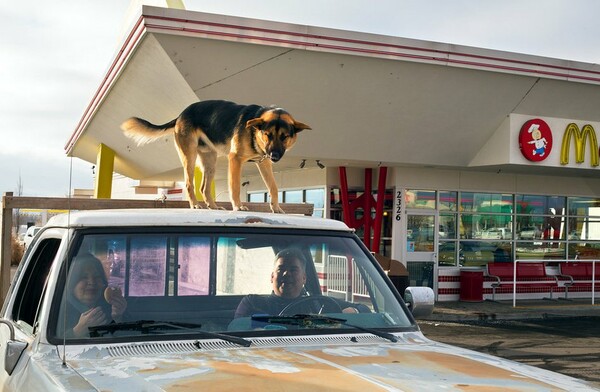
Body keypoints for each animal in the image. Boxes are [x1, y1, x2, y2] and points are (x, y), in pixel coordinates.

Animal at [120, 99, 312, 213]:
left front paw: (276, 207)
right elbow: (235, 187)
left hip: (210, 160)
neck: (254, 131)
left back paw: (213, 206)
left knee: (204, 188)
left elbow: (273, 187)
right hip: (189, 157)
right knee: (190, 184)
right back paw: (195, 204)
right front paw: (238, 206)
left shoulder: (263, 163)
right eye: (268, 134)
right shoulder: (235, 159)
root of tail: (181, 114)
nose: (274, 155)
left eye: (284, 136)